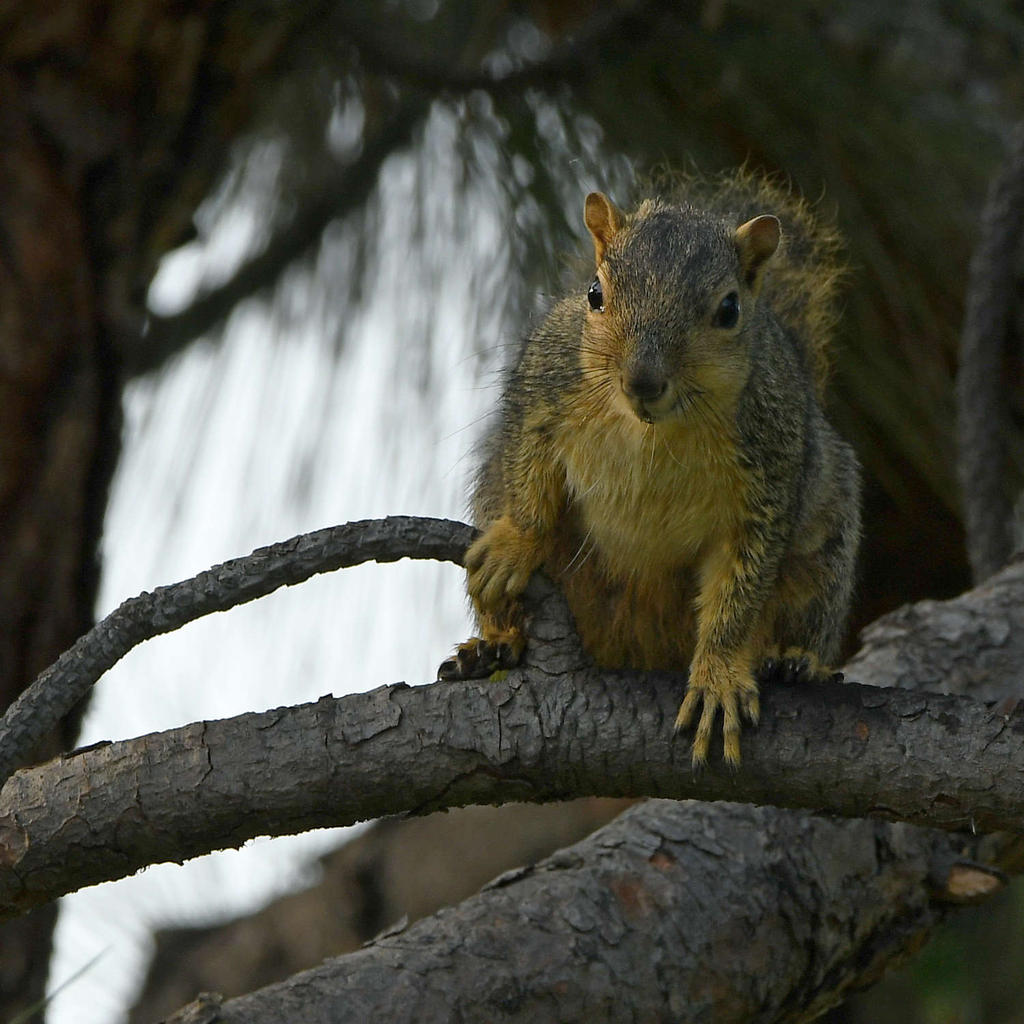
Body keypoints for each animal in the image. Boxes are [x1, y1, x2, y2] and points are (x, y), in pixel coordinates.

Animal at [439, 171, 862, 765]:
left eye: (729, 311)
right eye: (595, 294)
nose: (642, 380)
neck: (652, 430)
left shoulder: (769, 475)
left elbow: (739, 590)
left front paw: (718, 676)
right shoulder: (541, 394)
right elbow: (529, 474)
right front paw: (516, 543)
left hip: (822, 548)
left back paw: (793, 658)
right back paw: (497, 645)